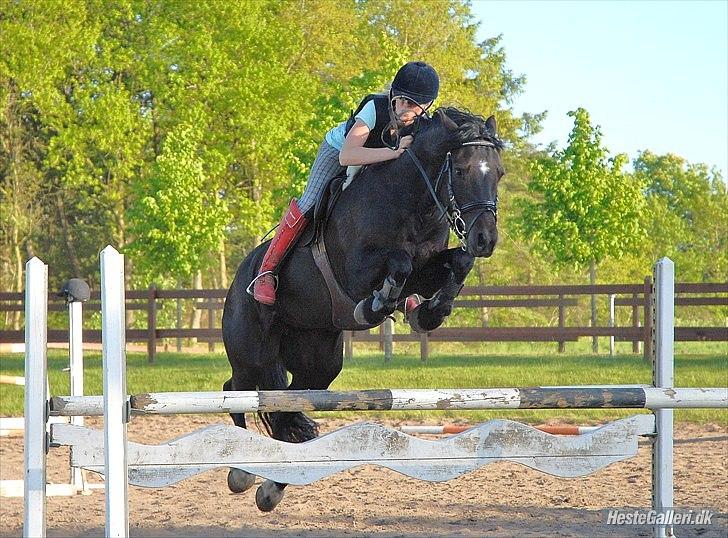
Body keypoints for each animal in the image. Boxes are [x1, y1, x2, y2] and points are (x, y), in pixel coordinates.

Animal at [222, 105, 506, 510]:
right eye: (462, 170)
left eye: (498, 173)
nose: (485, 239)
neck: (412, 203)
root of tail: (238, 280)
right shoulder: (356, 273)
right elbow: (398, 264)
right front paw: (375, 307)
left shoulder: (428, 267)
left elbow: (457, 264)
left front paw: (428, 312)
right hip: (251, 353)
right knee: (236, 390)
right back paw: (241, 473)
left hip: (318, 363)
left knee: (288, 404)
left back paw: (271, 488)